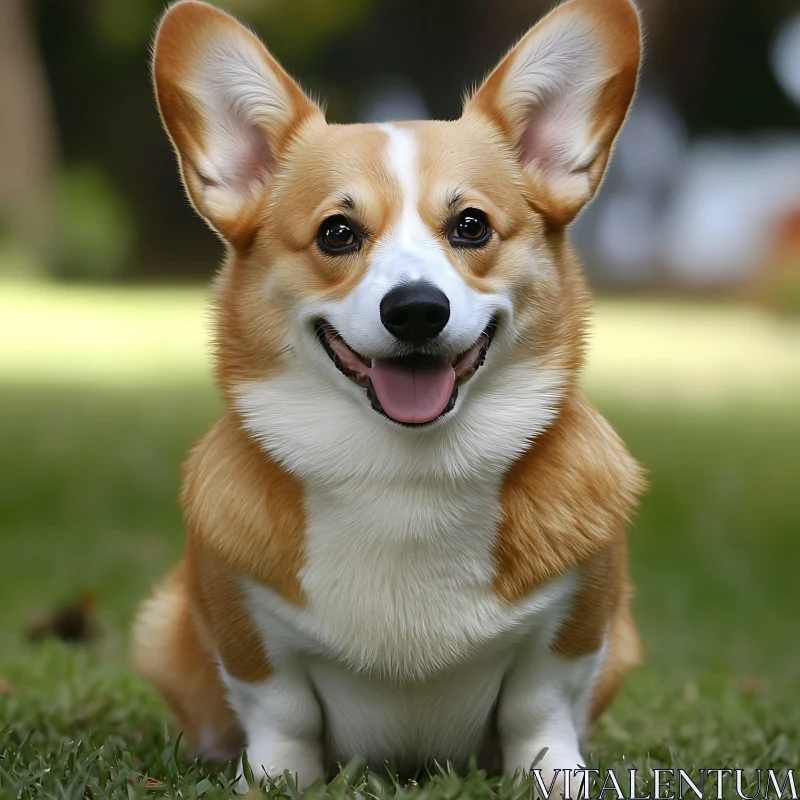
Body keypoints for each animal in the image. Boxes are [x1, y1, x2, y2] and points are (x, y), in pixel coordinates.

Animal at [131, 0, 644, 792]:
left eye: (471, 225)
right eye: (338, 233)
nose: (416, 310)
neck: (406, 477)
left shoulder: (578, 622)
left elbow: (539, 712)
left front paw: (556, 779)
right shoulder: (245, 624)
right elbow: (282, 714)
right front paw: (276, 782)